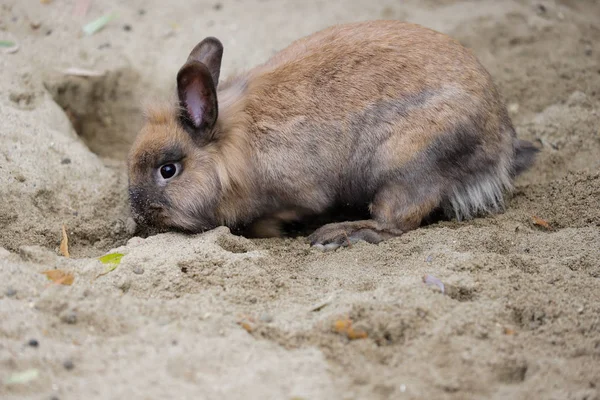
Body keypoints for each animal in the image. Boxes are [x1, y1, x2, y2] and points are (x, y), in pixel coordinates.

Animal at [126, 20, 540, 250]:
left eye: (168, 170)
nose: (139, 215)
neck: (230, 152)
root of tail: (500, 144)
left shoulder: (299, 194)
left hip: (405, 168)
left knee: (396, 222)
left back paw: (337, 235)